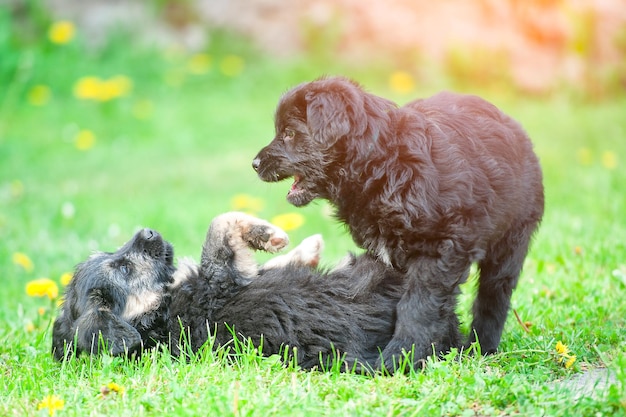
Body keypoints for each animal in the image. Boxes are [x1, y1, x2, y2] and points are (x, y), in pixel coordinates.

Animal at [251, 75, 544, 368]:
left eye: (290, 133)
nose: (254, 163)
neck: (384, 164)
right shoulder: (386, 255)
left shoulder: (438, 250)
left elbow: (417, 306)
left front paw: (400, 357)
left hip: (511, 240)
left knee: (494, 296)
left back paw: (482, 347)